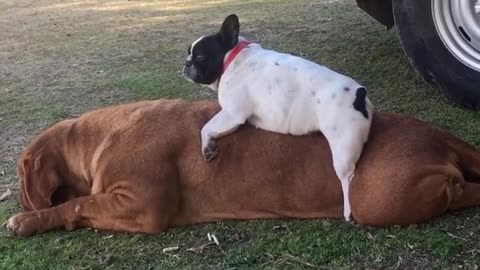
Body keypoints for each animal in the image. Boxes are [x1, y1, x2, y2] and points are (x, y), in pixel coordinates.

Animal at [5, 99, 480, 236]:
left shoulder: (141, 204)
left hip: (377, 198)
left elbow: (77, 204)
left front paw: (27, 219)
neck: (88, 139)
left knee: (458, 190)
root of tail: (438, 134)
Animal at [182, 14, 374, 220]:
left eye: (200, 57)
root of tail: (359, 94)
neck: (232, 59)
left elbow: (206, 127)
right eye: (189, 53)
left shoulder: (233, 114)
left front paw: (207, 147)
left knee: (348, 178)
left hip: (343, 148)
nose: (187, 63)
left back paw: (347, 211)